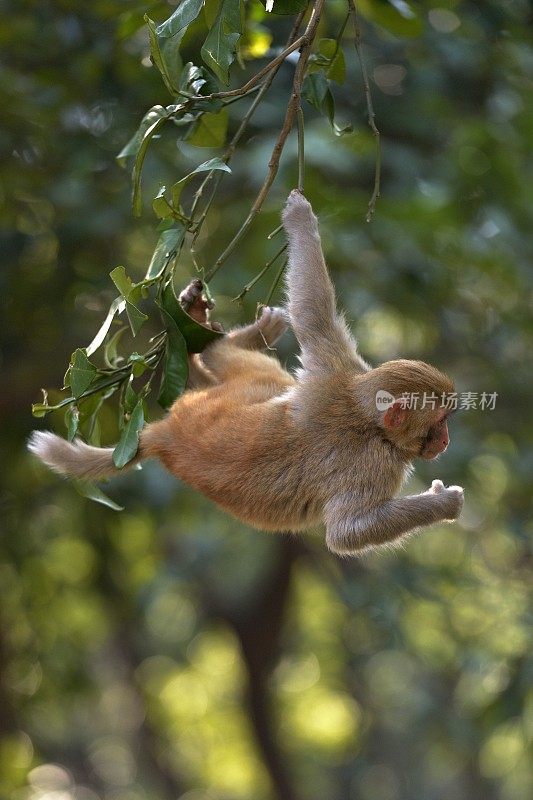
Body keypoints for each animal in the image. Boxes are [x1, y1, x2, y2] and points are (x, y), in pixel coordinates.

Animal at [29, 191, 462, 552]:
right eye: (439, 420)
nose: (445, 440)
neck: (367, 418)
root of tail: (163, 434)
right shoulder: (374, 462)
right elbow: (348, 531)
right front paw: (443, 503)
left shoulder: (337, 371)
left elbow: (313, 318)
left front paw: (299, 222)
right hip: (248, 391)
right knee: (265, 375)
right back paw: (236, 338)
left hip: (223, 399)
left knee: (225, 362)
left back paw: (200, 345)